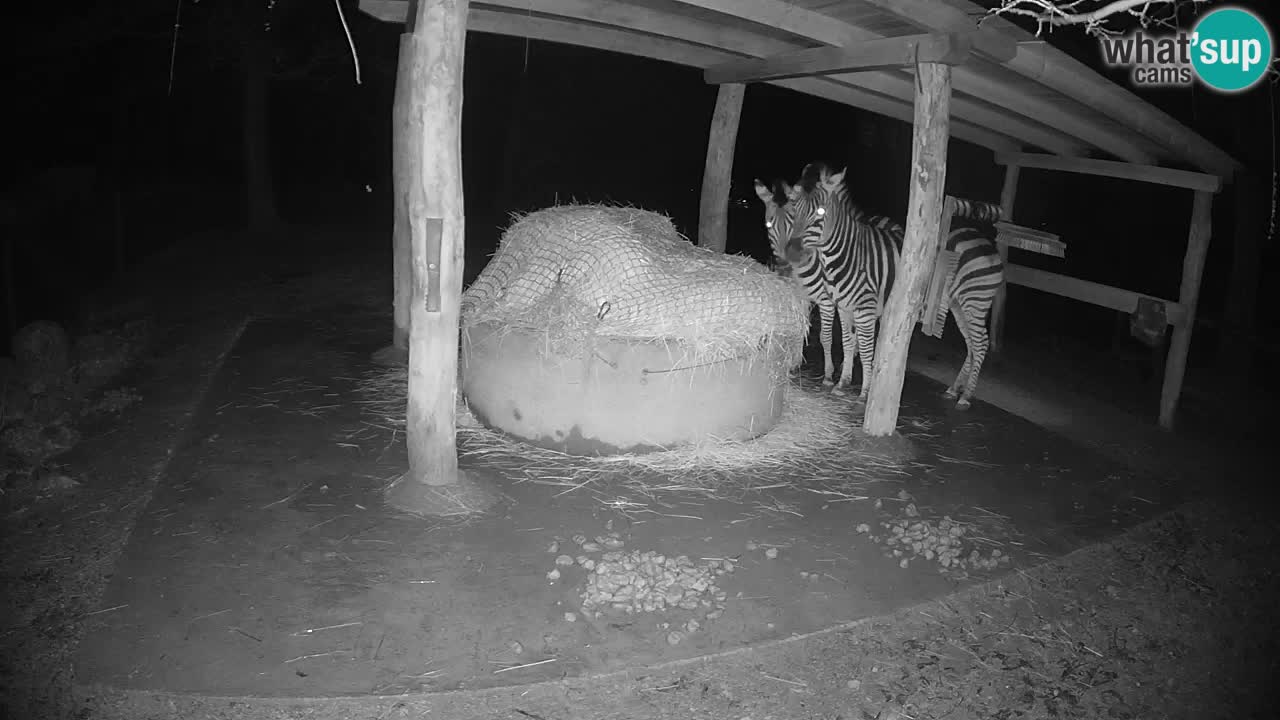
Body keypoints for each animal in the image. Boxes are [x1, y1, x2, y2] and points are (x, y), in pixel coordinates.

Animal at [753, 178, 854, 388]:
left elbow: (825, 336)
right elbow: (802, 327)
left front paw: (827, 374)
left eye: (793, 224)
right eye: (768, 225)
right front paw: (794, 364)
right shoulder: (801, 297)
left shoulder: (826, 301)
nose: (784, 267)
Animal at [783, 161, 1004, 409]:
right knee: (971, 345)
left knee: (981, 343)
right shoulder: (844, 306)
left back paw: (966, 397)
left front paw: (863, 392)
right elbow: (848, 342)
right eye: (794, 207)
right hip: (958, 305)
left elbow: (864, 349)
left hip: (974, 301)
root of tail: (985, 241)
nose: (791, 252)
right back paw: (954, 390)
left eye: (820, 212)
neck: (847, 253)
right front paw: (843, 383)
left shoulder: (862, 309)